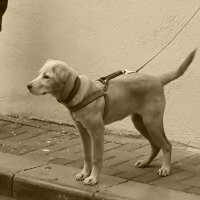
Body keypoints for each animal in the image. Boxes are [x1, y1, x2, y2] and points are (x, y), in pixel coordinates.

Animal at [27, 50, 196, 186]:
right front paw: (84, 173)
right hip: (139, 122)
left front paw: (93, 178)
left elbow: (96, 157)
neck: (78, 91)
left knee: (167, 145)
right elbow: (87, 155)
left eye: (46, 77)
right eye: (39, 73)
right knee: (156, 145)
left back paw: (165, 168)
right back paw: (145, 163)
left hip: (152, 121)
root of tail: (158, 79)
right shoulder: (82, 131)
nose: (28, 86)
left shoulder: (97, 131)